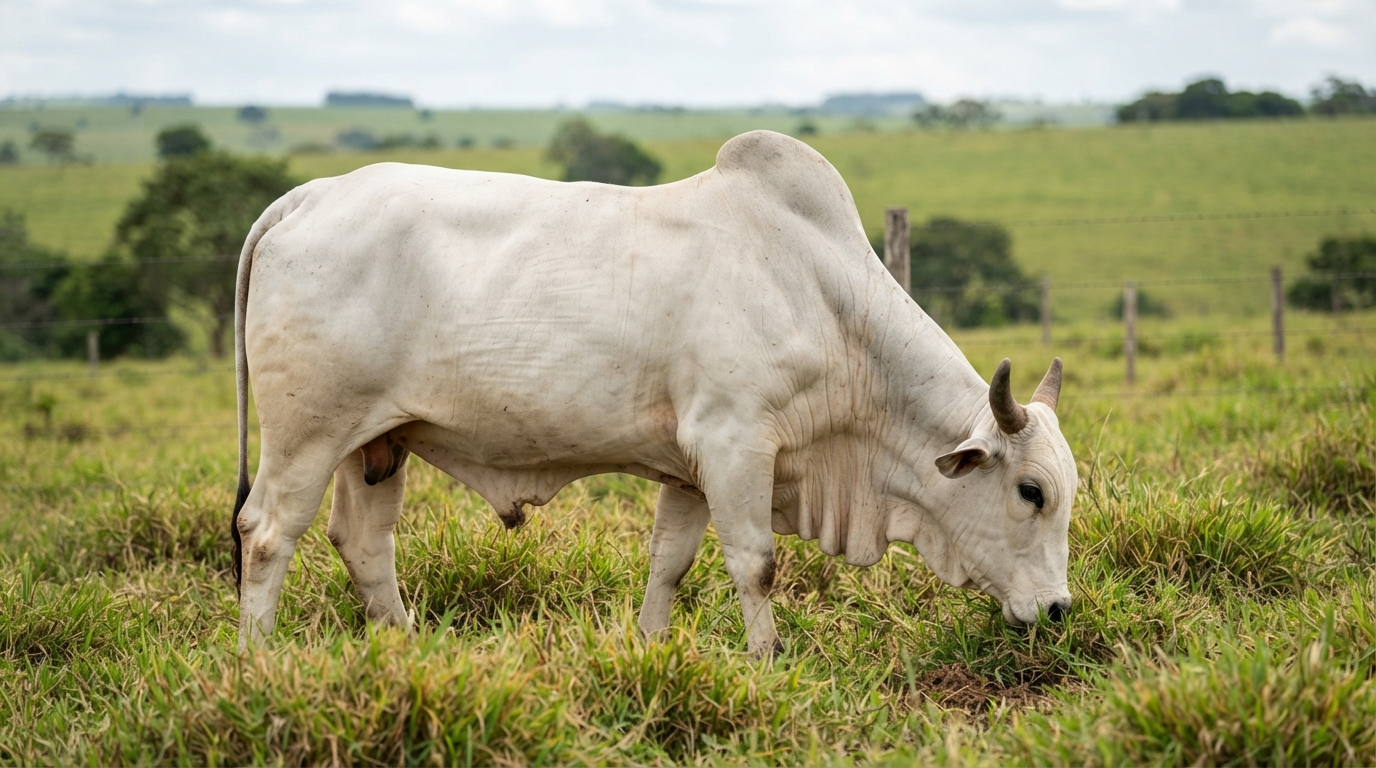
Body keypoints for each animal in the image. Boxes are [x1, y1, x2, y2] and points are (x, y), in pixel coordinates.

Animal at [231, 130, 1077, 656]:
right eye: (1031, 492)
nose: (1061, 610)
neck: (822, 296)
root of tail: (306, 197)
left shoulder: (689, 468)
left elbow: (670, 562)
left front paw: (648, 648)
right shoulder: (736, 444)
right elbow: (756, 563)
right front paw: (768, 658)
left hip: (377, 442)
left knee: (363, 542)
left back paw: (405, 648)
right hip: (307, 434)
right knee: (266, 533)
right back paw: (259, 659)